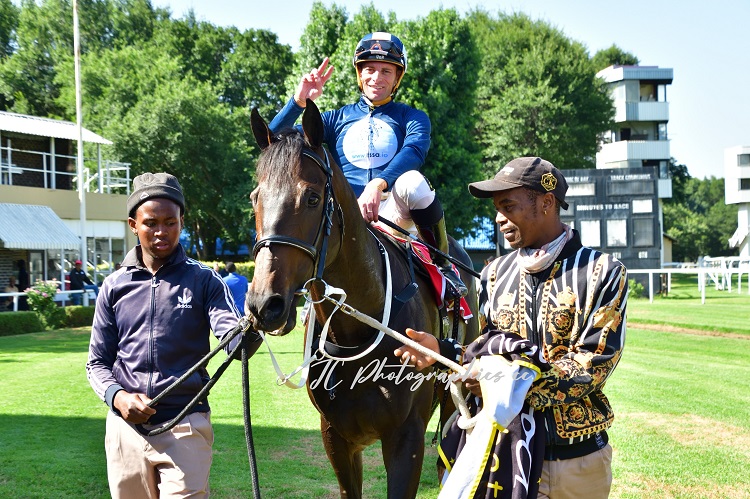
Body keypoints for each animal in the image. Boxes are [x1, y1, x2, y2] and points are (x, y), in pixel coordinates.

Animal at [246, 100, 479, 498]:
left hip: (455, 396)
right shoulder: (336, 438)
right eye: (255, 198)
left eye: (312, 197)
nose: (266, 303)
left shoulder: (406, 439)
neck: (355, 330)